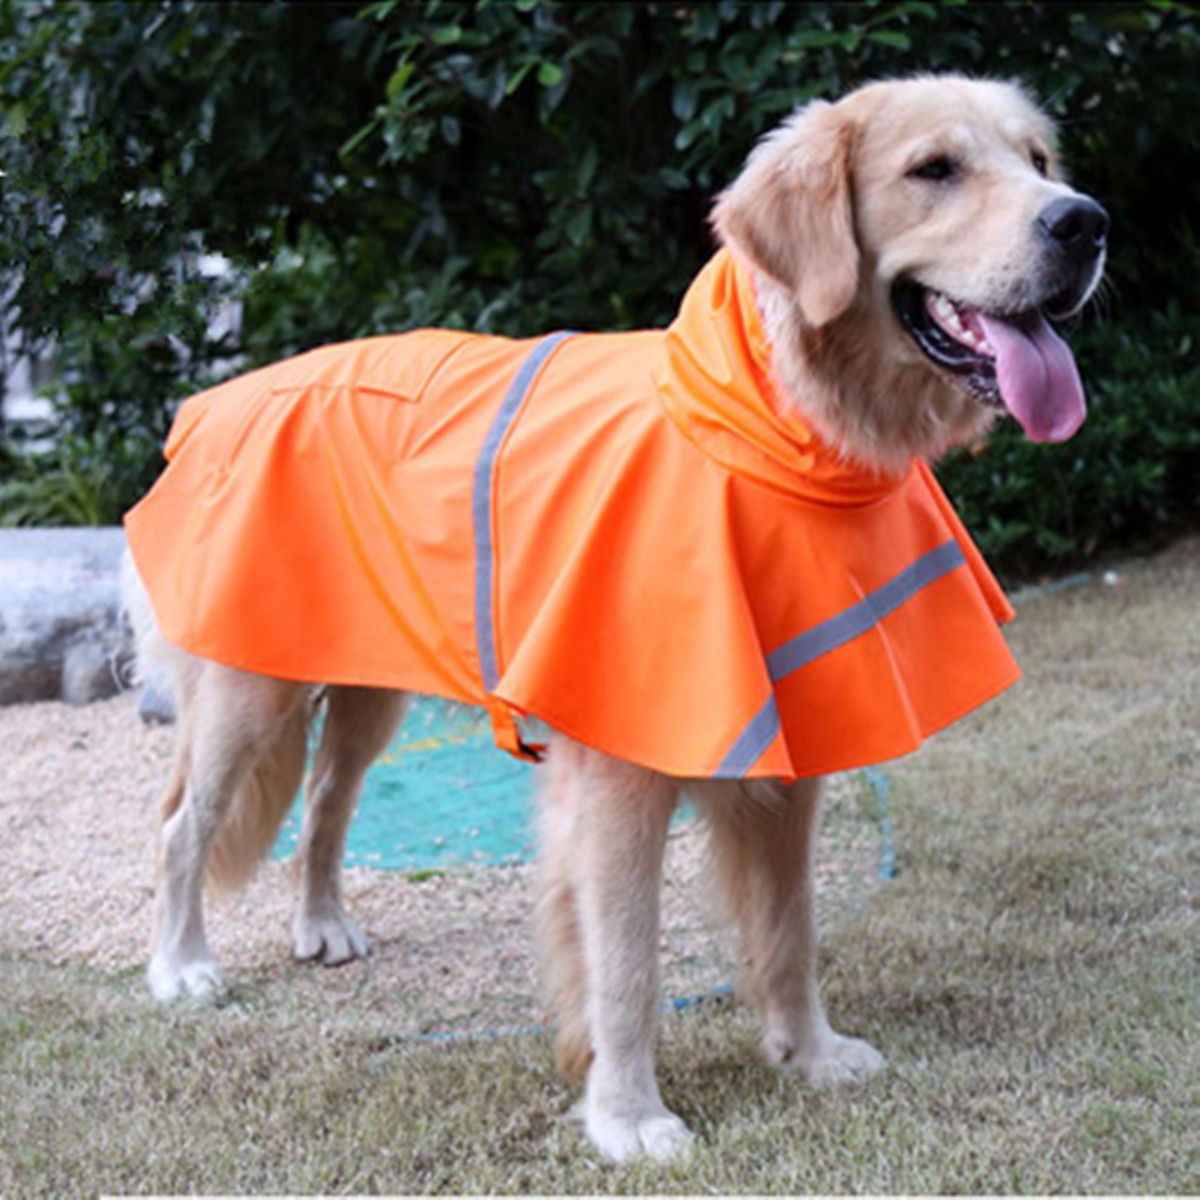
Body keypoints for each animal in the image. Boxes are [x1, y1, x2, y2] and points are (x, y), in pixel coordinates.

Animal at [121, 75, 1104, 1161]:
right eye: (934, 169)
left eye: (1038, 162)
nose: (1085, 223)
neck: (763, 424)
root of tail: (212, 400)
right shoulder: (622, 776)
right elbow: (626, 963)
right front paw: (630, 1116)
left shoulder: (791, 752)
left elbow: (790, 929)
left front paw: (807, 1054)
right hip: (251, 691)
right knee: (180, 826)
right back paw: (181, 967)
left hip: (368, 681)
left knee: (328, 801)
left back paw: (321, 925)